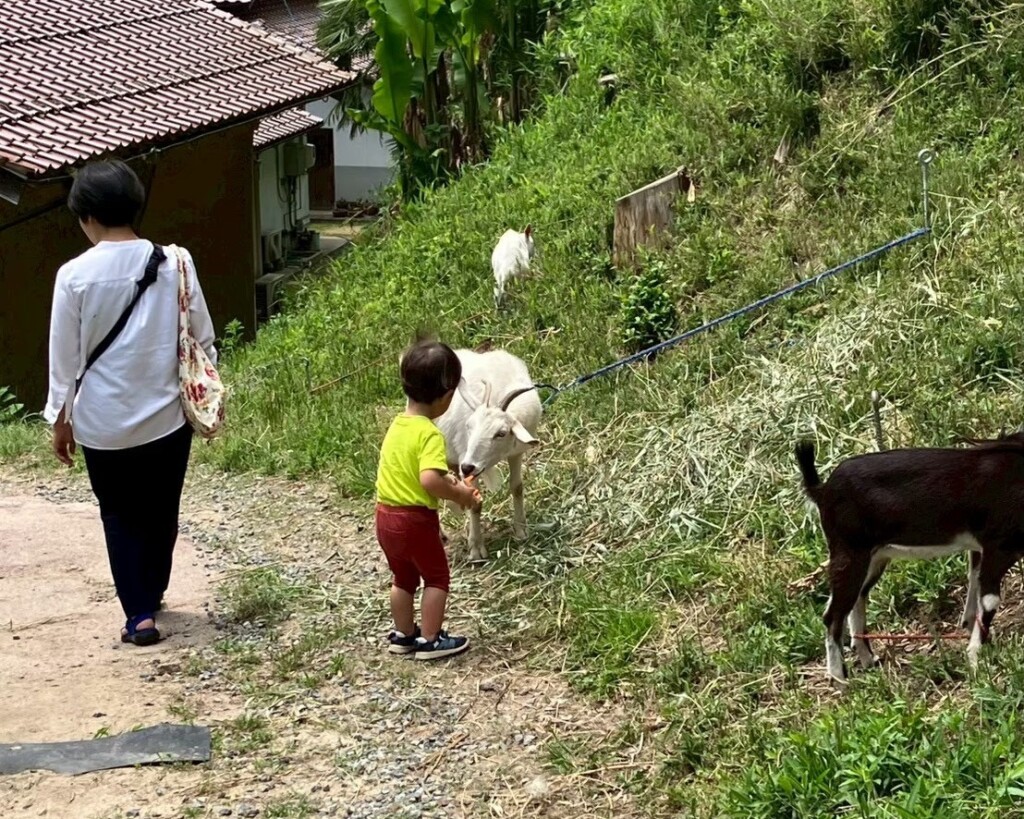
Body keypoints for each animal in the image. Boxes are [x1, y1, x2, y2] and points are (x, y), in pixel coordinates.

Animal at [436, 349, 543, 561]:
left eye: (501, 433)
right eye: (469, 426)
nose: (467, 467)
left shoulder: (516, 452)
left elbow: (517, 488)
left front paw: (521, 530)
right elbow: (476, 504)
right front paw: (476, 549)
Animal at [795, 432, 1024, 684]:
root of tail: (822, 490)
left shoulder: (979, 548)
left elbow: (974, 583)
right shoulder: (998, 545)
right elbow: (990, 600)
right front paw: (977, 663)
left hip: (874, 556)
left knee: (857, 597)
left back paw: (868, 661)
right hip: (849, 551)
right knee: (833, 614)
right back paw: (841, 681)